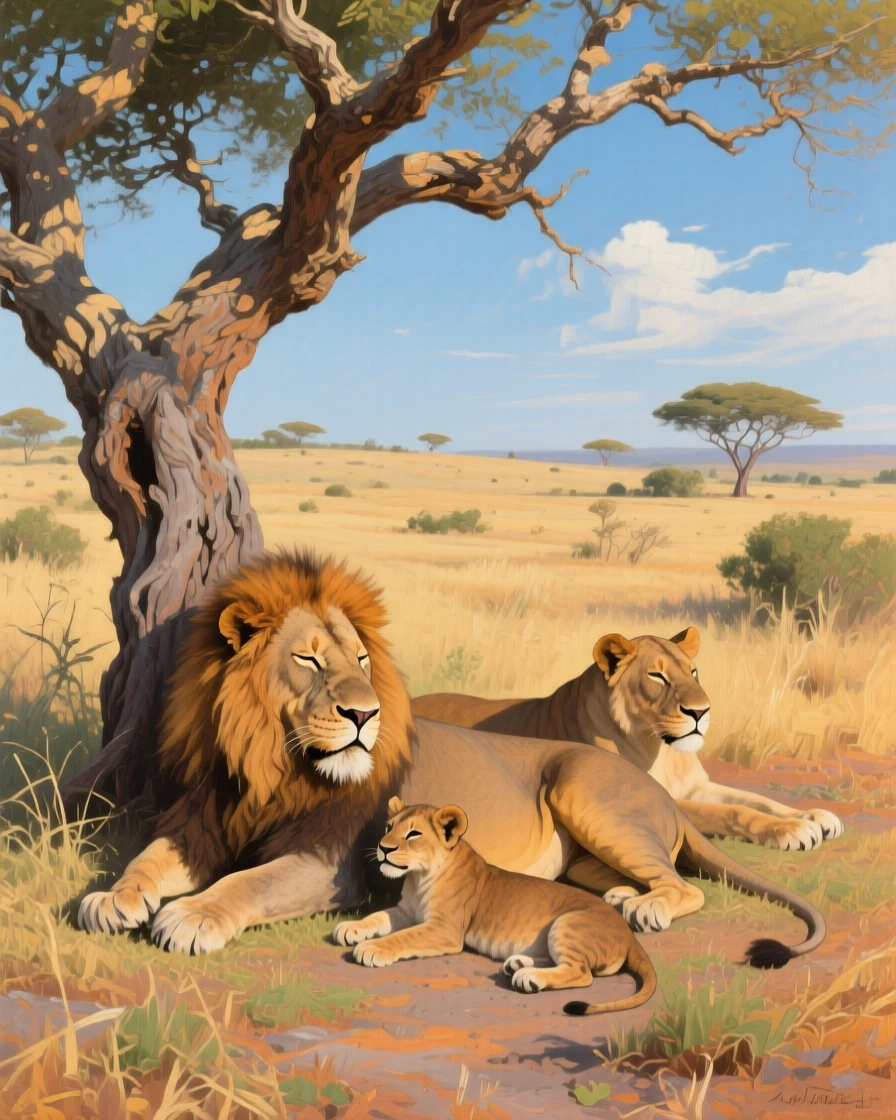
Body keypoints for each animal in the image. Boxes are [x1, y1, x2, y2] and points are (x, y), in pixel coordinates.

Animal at [334, 797, 658, 1016]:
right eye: (388, 827)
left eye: (413, 834)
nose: (383, 847)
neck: (417, 877)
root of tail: (628, 933)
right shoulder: (405, 912)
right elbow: (377, 917)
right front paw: (349, 928)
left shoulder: (445, 930)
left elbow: (403, 937)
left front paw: (371, 948)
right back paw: (519, 964)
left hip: (567, 924)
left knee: (581, 973)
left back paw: (528, 977)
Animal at [411, 628, 843, 852]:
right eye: (657, 676)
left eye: (693, 672)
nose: (701, 712)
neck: (662, 750)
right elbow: (732, 812)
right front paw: (792, 830)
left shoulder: (697, 786)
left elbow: (754, 799)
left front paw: (814, 816)